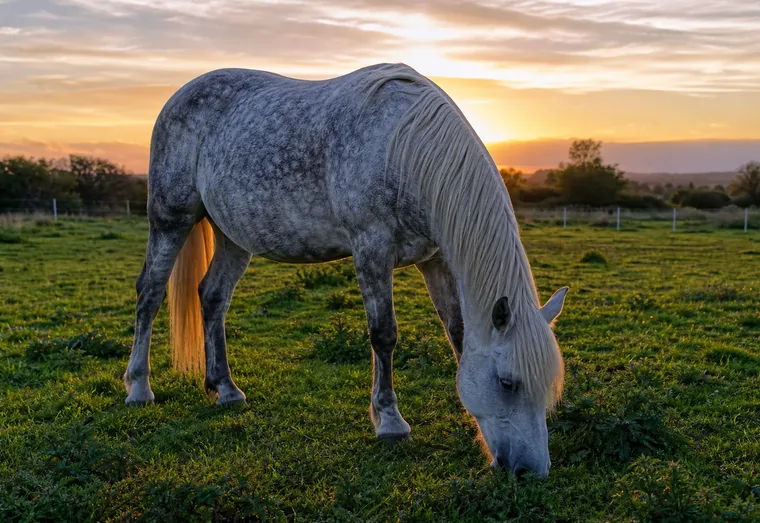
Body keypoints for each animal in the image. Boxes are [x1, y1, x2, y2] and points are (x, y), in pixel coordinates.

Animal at [123, 63, 568, 478]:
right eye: (508, 382)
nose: (531, 470)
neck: (403, 148)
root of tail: (180, 96)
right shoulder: (371, 248)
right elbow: (384, 334)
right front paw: (389, 421)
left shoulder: (436, 259)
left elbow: (457, 333)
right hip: (170, 219)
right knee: (150, 293)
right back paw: (139, 387)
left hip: (232, 236)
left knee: (212, 297)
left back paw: (225, 389)